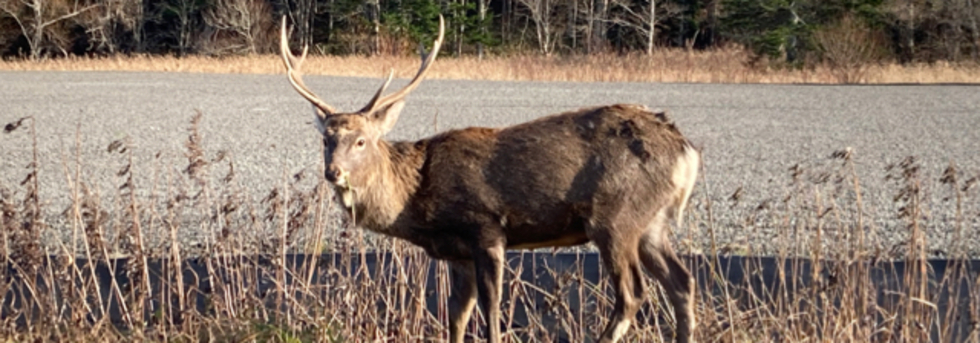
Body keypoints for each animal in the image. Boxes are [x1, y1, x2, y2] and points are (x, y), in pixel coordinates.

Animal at [280, 15, 700, 343]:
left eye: (361, 140)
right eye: (326, 139)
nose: (332, 172)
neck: (417, 199)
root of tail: (686, 150)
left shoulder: (485, 228)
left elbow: (491, 307)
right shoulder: (456, 253)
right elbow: (456, 315)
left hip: (615, 215)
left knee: (633, 293)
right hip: (652, 222)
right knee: (682, 282)